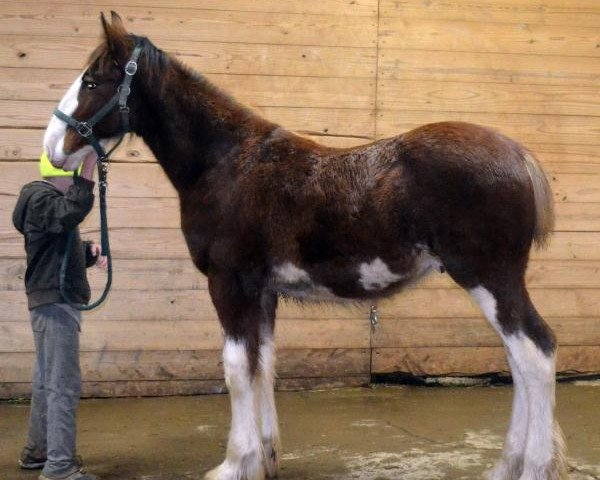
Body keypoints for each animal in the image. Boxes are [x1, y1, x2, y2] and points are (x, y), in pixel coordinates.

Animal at [43, 10, 568, 480]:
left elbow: (236, 369)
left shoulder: (230, 285)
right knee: (518, 360)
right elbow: (263, 364)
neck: (225, 162)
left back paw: (533, 467)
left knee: (535, 354)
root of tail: (518, 154)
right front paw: (265, 458)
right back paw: (505, 466)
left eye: (92, 81)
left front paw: (235, 463)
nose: (52, 147)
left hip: (489, 278)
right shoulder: (262, 292)